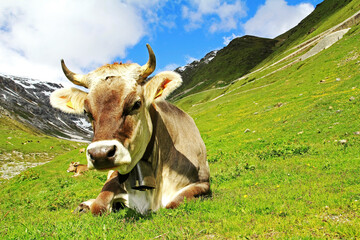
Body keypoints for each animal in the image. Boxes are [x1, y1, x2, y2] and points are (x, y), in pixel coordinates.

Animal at [49, 45, 210, 216]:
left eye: (136, 104)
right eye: (86, 112)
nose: (100, 154)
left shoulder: (202, 182)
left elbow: (172, 204)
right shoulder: (115, 178)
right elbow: (98, 205)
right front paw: (92, 205)